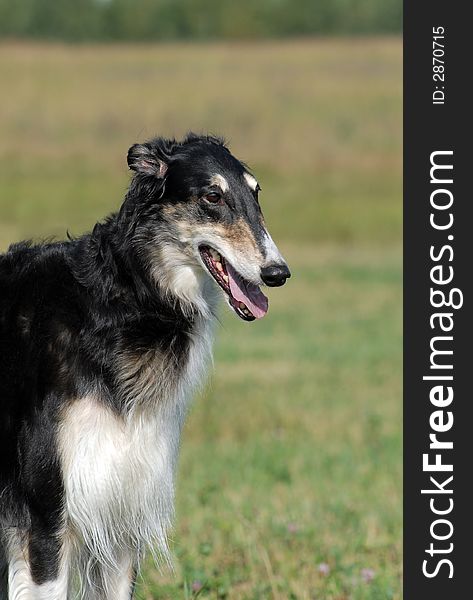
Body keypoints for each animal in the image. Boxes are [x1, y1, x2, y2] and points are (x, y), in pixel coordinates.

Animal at [0, 134, 290, 596]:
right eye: (212, 196)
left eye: (256, 192)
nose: (278, 272)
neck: (124, 302)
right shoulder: (45, 518)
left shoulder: (123, 512)